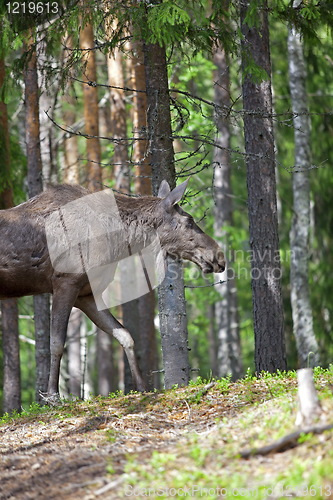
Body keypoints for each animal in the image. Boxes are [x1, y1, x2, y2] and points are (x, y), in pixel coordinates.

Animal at [0, 178, 224, 400]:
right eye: (189, 221)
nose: (219, 256)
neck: (117, 242)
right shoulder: (65, 282)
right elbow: (56, 343)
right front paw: (53, 396)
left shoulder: (86, 295)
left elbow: (125, 335)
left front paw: (141, 387)